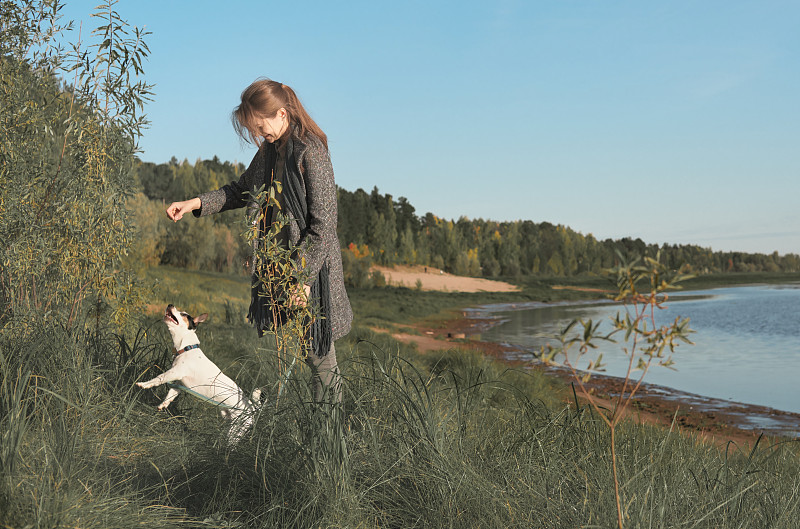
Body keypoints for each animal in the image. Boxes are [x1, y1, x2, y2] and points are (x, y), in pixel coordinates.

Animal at [136, 304, 260, 444]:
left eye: (184, 314)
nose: (170, 305)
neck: (186, 348)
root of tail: (252, 408)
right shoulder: (179, 382)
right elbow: (171, 394)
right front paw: (163, 404)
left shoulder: (175, 373)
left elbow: (159, 378)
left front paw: (144, 384)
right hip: (230, 424)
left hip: (237, 430)